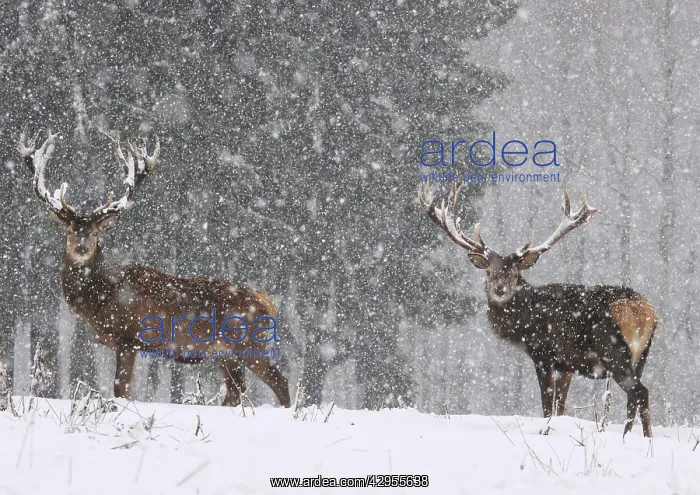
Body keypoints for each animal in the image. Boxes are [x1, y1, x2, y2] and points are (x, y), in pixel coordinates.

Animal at [19, 126, 291, 408]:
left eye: (95, 232)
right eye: (71, 231)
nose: (81, 248)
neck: (102, 297)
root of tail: (267, 302)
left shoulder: (129, 339)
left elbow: (120, 389)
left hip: (247, 342)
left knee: (280, 382)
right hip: (224, 353)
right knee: (235, 392)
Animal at [418, 183, 657, 437]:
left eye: (514, 273)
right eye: (489, 272)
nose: (500, 289)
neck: (524, 321)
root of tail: (642, 311)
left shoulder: (543, 353)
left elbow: (547, 404)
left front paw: (545, 432)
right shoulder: (566, 365)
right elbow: (560, 405)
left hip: (613, 351)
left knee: (640, 392)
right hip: (642, 356)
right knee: (633, 399)